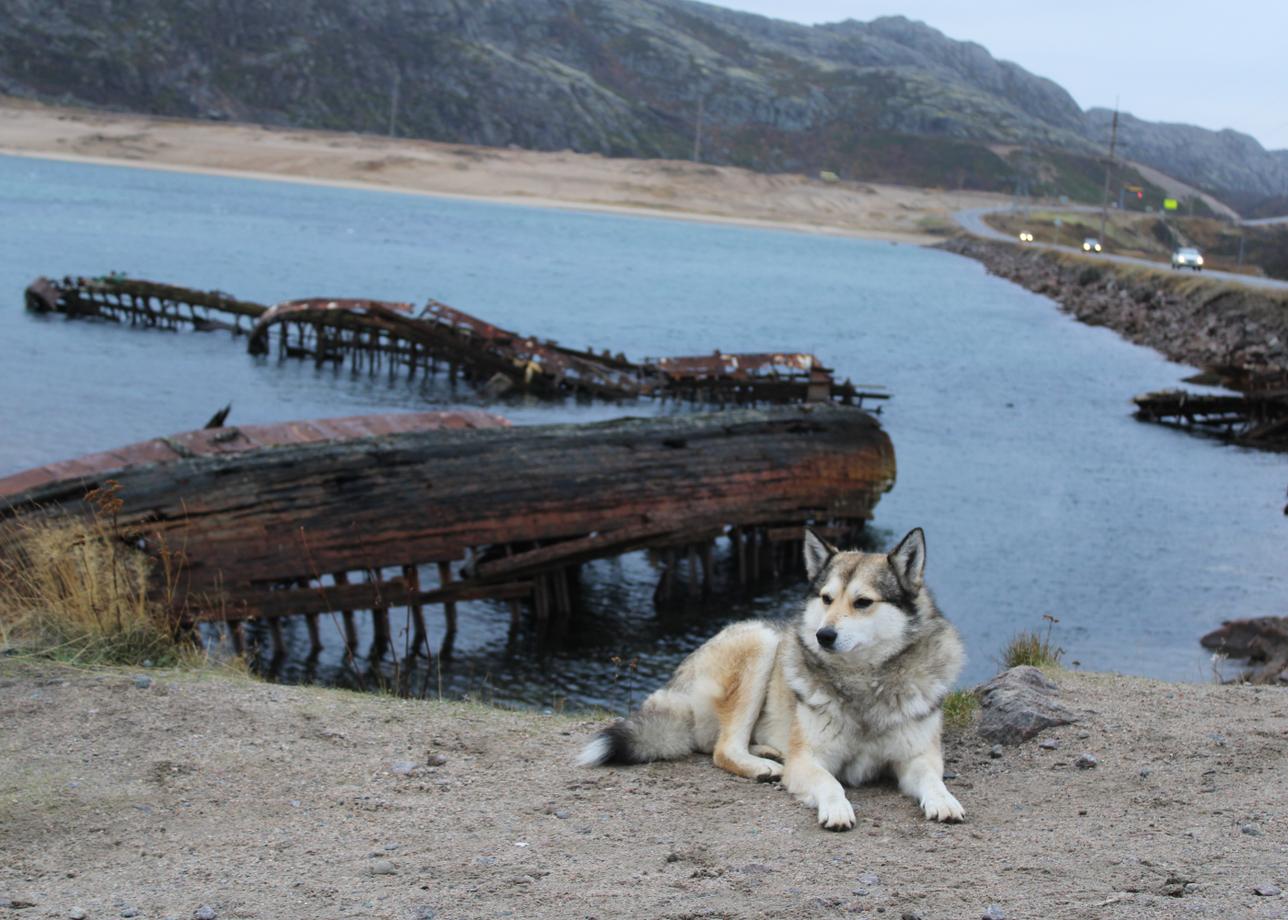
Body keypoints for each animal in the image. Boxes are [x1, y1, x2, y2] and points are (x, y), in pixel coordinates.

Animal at [579, 525, 963, 829]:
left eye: (863, 602)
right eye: (826, 599)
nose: (823, 636)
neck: (863, 682)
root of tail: (676, 685)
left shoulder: (917, 757)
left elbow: (933, 779)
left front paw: (944, 800)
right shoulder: (808, 760)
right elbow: (831, 783)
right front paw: (837, 808)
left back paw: (767, 751)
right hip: (761, 640)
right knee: (722, 749)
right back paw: (762, 765)